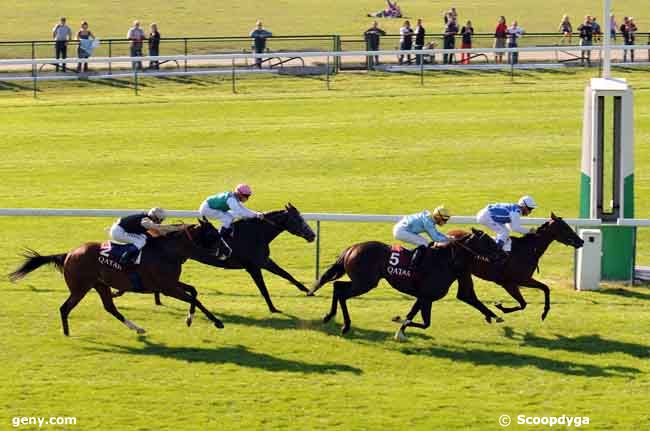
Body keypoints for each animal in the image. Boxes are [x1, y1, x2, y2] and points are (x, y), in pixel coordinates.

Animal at [8, 219, 230, 338]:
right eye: (213, 235)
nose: (228, 251)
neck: (167, 251)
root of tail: (69, 254)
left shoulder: (170, 284)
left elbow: (194, 291)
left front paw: (192, 318)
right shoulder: (168, 287)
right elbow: (194, 298)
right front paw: (212, 321)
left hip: (100, 285)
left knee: (110, 308)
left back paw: (138, 328)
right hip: (80, 287)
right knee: (65, 308)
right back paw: (67, 332)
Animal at [306, 230, 498, 338]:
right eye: (488, 241)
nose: (501, 254)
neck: (446, 261)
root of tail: (351, 248)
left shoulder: (424, 297)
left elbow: (417, 318)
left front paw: (399, 328)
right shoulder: (426, 296)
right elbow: (422, 321)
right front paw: (398, 323)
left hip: (361, 281)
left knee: (338, 286)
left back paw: (329, 316)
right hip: (365, 283)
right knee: (342, 293)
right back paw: (345, 325)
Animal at [450, 214, 584, 322]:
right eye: (565, 227)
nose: (581, 241)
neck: (528, 249)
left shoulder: (521, 280)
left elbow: (543, 289)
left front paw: (544, 313)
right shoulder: (511, 282)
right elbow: (524, 303)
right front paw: (500, 306)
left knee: (464, 295)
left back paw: (489, 315)